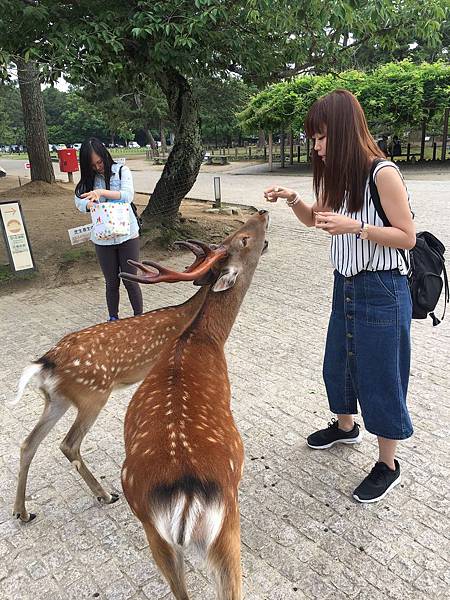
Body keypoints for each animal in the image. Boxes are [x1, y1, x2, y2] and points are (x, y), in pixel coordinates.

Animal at [10, 241, 221, 524]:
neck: (186, 314)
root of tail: (45, 363)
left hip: (56, 399)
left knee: (28, 443)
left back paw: (22, 511)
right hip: (92, 394)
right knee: (68, 443)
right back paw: (106, 495)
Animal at [118, 209, 270, 596]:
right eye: (243, 238)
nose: (263, 212)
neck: (203, 337)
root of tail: (186, 499)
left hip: (154, 533)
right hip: (228, 524)